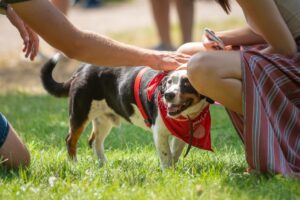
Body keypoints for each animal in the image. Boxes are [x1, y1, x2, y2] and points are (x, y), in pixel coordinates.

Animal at [41, 54, 213, 170]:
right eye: (169, 82)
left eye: (186, 83)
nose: (168, 95)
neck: (185, 117)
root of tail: (82, 69)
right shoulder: (159, 133)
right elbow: (166, 156)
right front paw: (169, 173)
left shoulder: (183, 135)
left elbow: (174, 153)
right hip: (79, 114)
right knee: (70, 140)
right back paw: (74, 164)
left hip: (104, 121)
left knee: (95, 142)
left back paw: (104, 165)